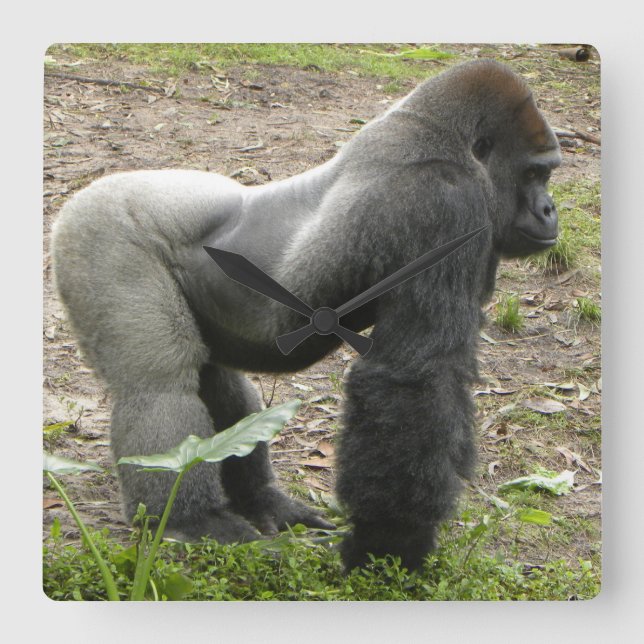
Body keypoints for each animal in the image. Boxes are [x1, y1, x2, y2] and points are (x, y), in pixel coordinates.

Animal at [51, 59, 561, 570]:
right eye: (535, 173)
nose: (550, 210)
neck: (441, 140)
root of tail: (82, 195)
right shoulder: (442, 203)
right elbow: (413, 379)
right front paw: (388, 546)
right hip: (102, 232)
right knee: (159, 384)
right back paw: (190, 519)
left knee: (216, 385)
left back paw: (260, 500)